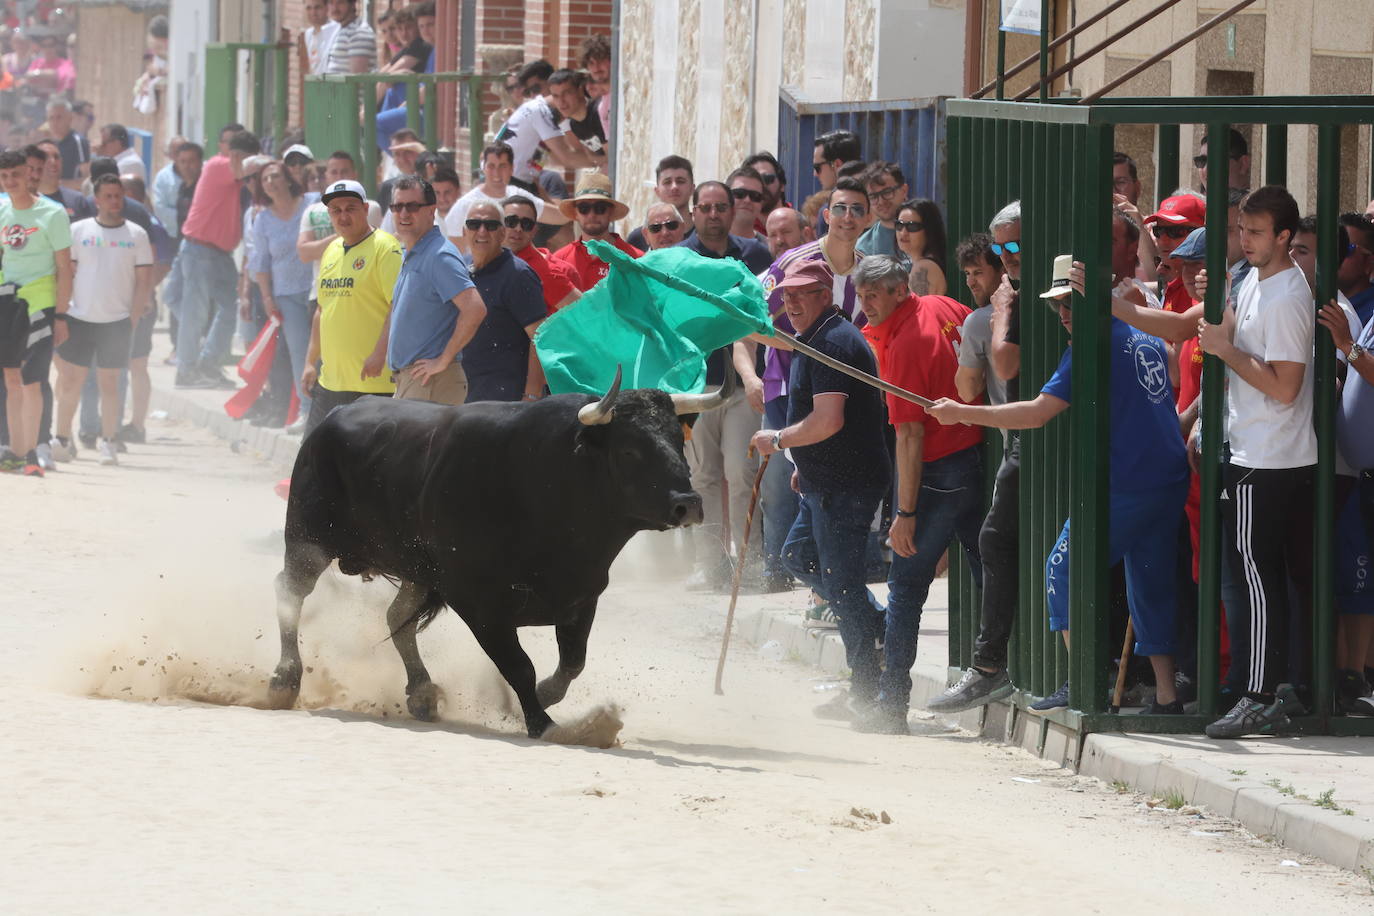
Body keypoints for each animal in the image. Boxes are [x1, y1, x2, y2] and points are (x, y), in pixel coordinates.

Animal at [270, 370, 741, 736]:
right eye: (629, 449)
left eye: (678, 442)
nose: (688, 504)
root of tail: (333, 417)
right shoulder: (480, 605)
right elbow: (519, 666)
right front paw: (542, 722)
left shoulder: (581, 597)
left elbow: (572, 664)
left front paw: (541, 700)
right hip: (308, 541)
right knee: (290, 594)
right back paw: (283, 681)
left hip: (418, 570)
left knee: (395, 617)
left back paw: (422, 694)